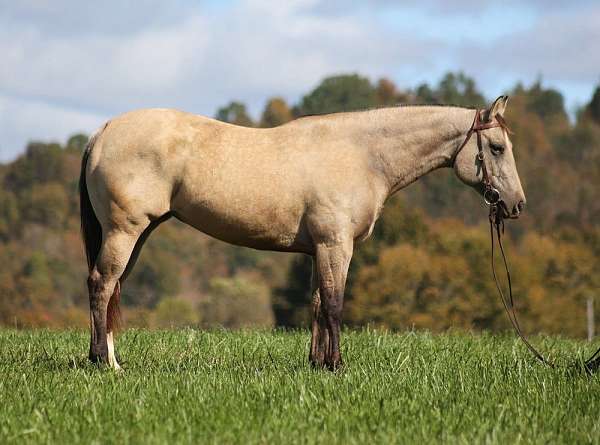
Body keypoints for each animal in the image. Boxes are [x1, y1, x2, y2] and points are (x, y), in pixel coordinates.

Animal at [79, 95, 524, 370]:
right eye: (497, 148)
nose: (516, 204)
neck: (362, 155)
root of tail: (103, 131)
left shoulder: (318, 250)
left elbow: (316, 303)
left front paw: (318, 364)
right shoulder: (335, 246)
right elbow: (334, 304)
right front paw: (337, 365)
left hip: (138, 234)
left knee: (113, 289)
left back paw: (109, 357)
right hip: (124, 231)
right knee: (101, 284)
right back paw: (105, 363)